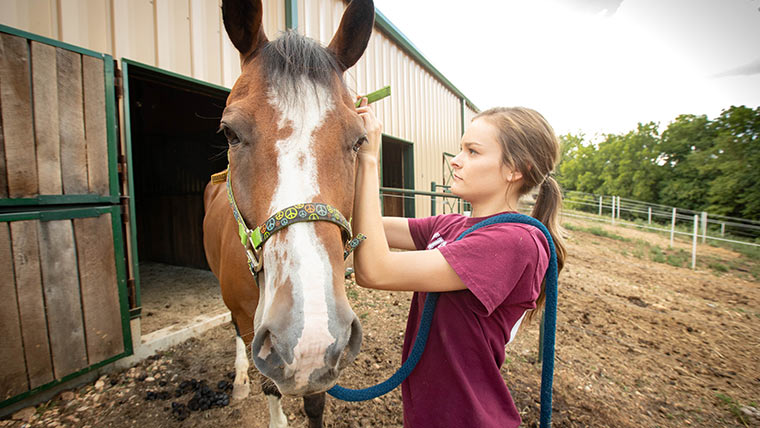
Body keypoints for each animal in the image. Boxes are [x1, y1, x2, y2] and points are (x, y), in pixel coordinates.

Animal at [202, 0, 374, 426]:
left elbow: (314, 401)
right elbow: (270, 385)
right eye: (229, 133)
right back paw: (239, 382)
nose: (307, 336)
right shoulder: (252, 325)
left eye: (359, 140)